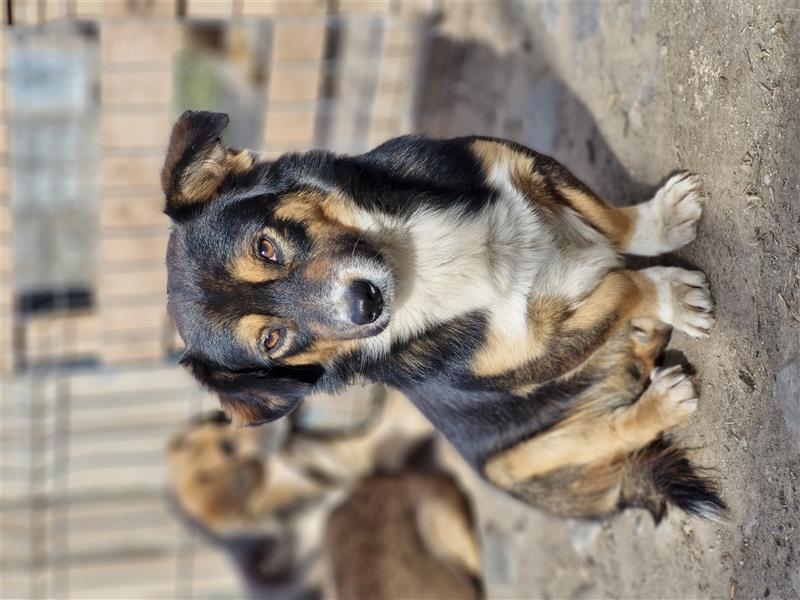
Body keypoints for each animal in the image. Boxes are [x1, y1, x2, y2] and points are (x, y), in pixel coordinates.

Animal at [161, 110, 724, 524]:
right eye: (273, 340)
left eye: (266, 248)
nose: (365, 303)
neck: (417, 262)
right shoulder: (542, 351)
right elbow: (624, 285)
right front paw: (670, 294)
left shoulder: (529, 170)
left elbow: (616, 223)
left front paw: (662, 221)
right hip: (509, 461)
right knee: (608, 431)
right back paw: (660, 396)